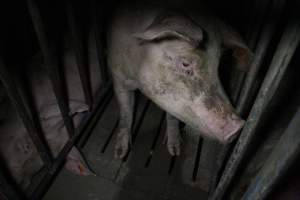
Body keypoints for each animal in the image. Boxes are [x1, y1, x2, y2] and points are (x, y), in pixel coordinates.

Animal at [106, 1, 252, 158]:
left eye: (217, 65)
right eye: (185, 63)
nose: (239, 126)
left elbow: (172, 117)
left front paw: (175, 151)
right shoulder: (117, 76)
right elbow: (125, 110)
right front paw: (119, 153)